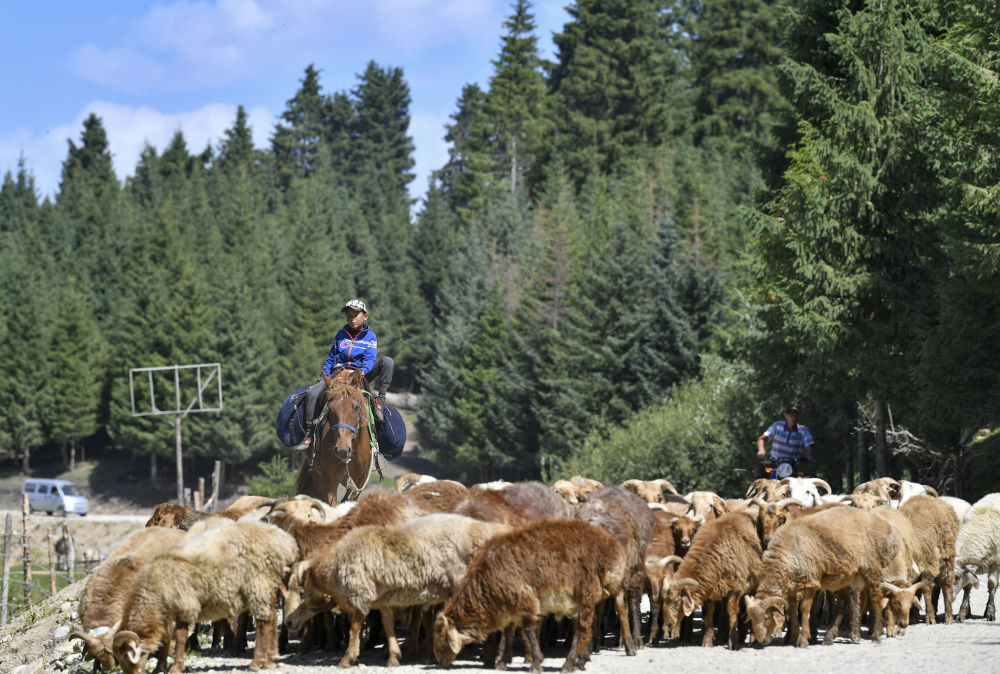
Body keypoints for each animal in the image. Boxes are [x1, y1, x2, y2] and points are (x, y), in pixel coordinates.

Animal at [434, 516, 628, 668]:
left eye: (441, 636)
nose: (440, 662)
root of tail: (614, 549)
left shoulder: (525, 600)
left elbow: (528, 630)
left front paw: (535, 663)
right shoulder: (511, 605)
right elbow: (509, 630)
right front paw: (503, 662)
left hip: (585, 591)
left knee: (582, 629)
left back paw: (569, 664)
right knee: (588, 627)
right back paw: (581, 661)